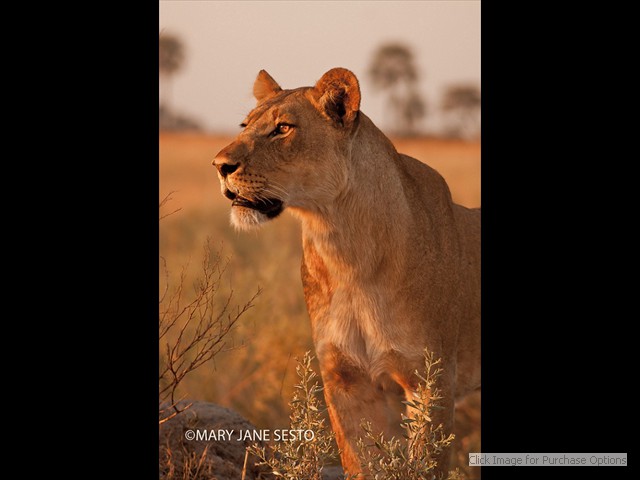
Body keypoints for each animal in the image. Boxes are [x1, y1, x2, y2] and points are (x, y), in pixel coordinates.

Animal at [212, 68, 480, 477]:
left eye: (283, 128)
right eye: (245, 126)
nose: (219, 165)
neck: (345, 249)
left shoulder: (430, 381)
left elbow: (424, 464)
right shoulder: (345, 378)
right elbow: (362, 461)